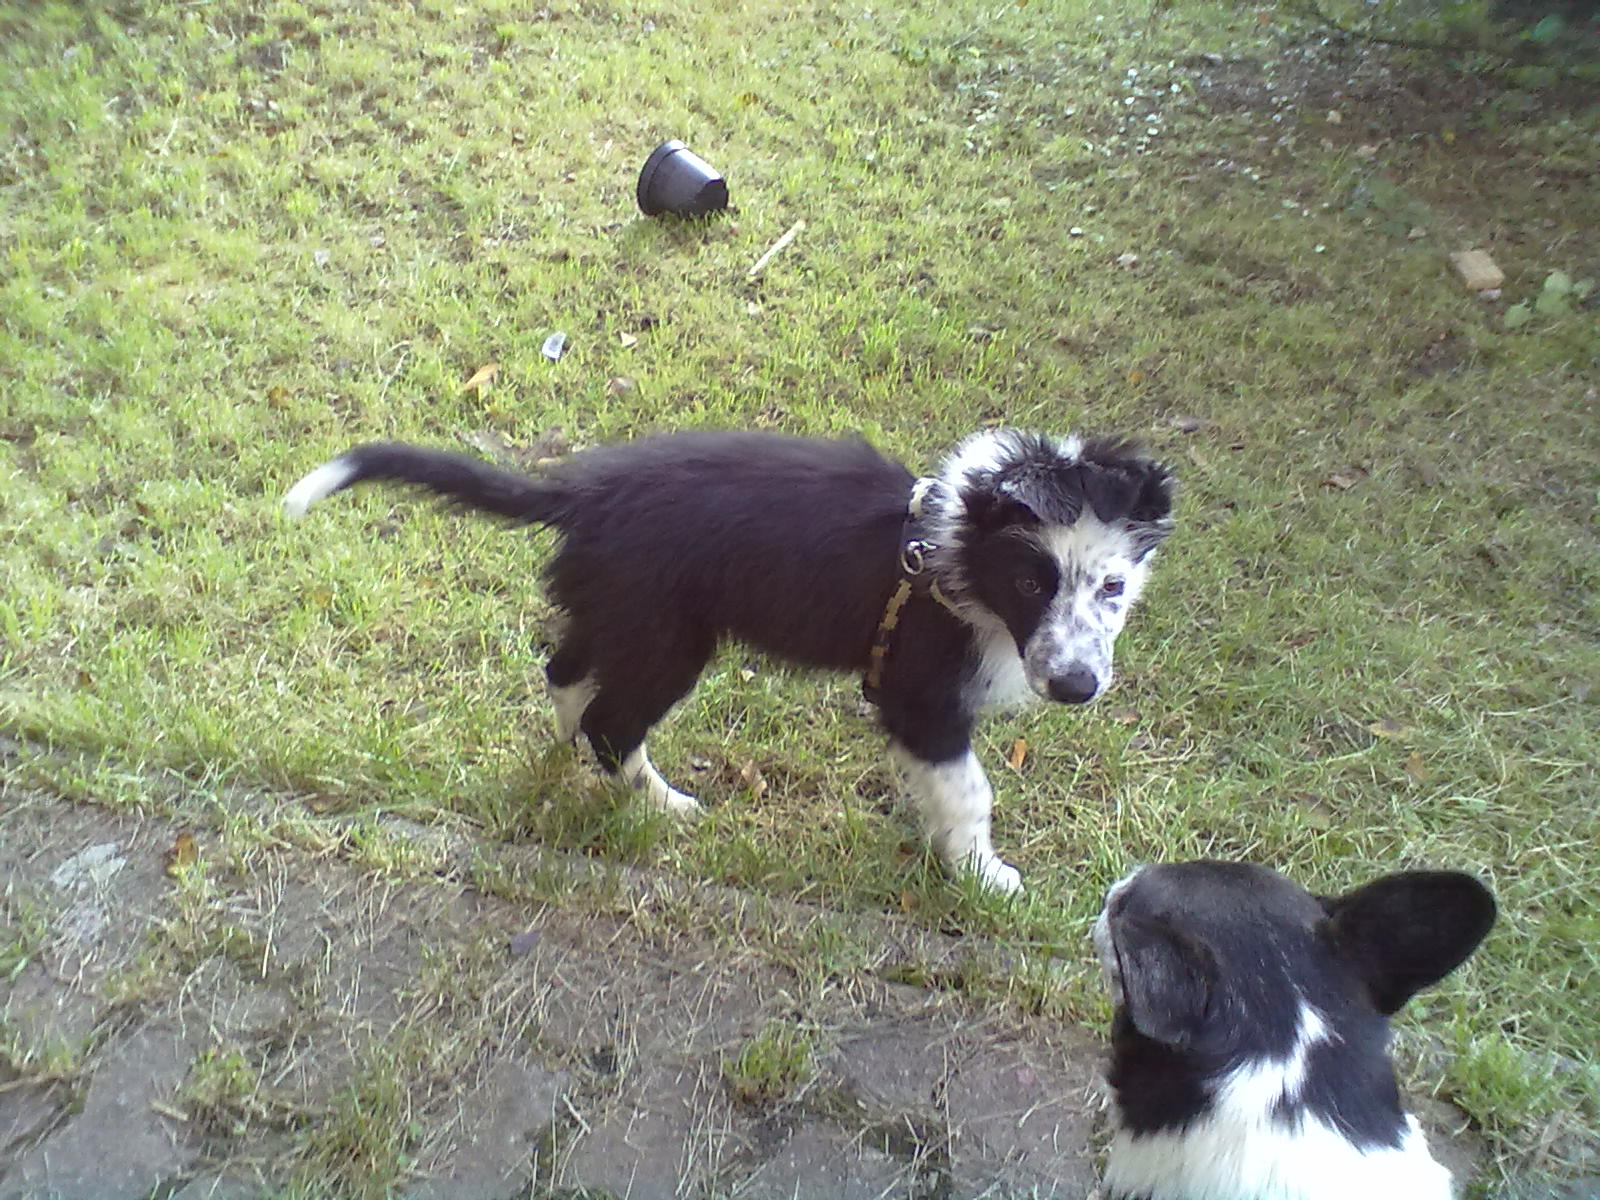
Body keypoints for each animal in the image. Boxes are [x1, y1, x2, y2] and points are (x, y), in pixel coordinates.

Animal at [281, 432, 1171, 896]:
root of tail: (590, 494)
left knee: (566, 674)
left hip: (624, 615)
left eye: (1113, 587)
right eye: (1030, 582)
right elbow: (968, 789)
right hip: (671, 640)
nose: (1076, 687)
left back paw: (574, 758)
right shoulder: (920, 695)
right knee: (612, 720)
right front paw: (982, 874)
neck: (955, 553)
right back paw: (663, 804)